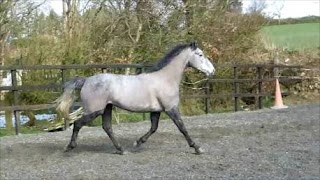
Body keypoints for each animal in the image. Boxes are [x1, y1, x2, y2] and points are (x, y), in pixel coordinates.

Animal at [55, 41, 215, 154]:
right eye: (200, 54)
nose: (212, 71)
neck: (165, 79)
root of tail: (86, 80)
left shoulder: (156, 110)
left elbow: (154, 128)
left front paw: (138, 142)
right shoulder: (171, 109)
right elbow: (182, 128)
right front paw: (197, 148)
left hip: (107, 108)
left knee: (107, 127)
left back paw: (121, 150)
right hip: (95, 111)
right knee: (78, 124)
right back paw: (69, 147)